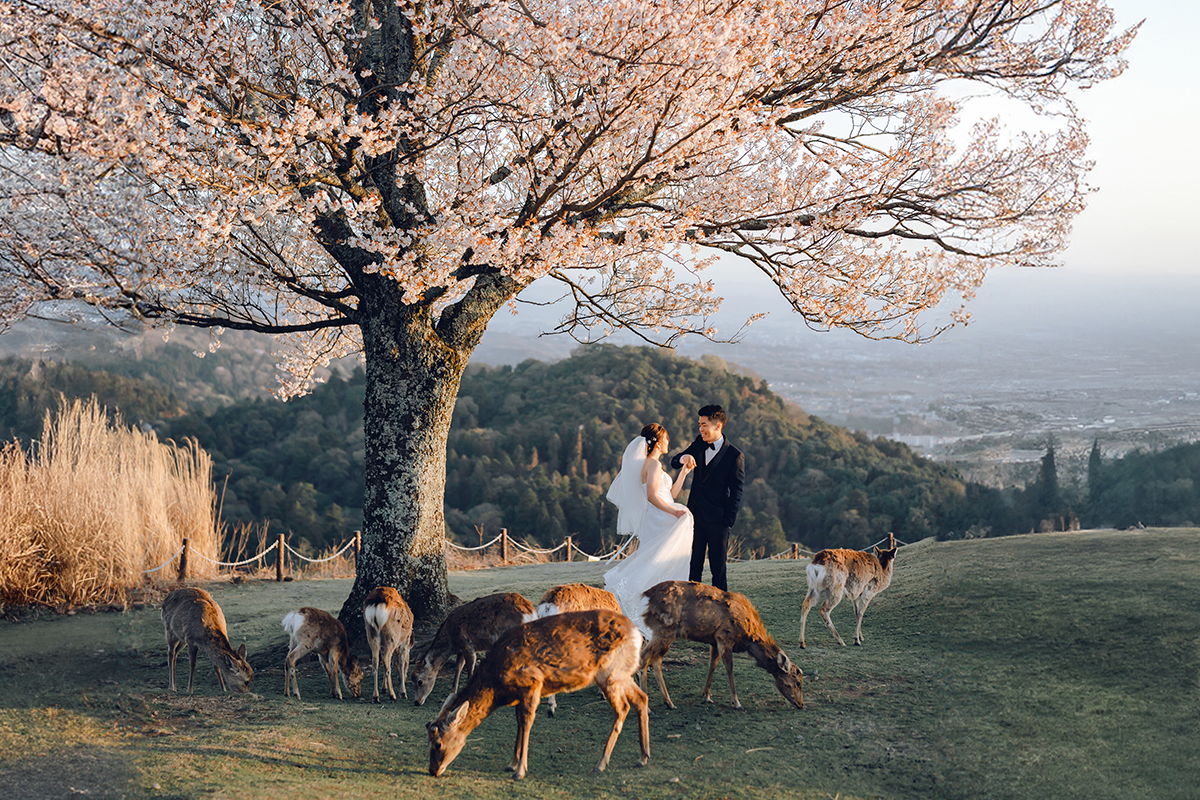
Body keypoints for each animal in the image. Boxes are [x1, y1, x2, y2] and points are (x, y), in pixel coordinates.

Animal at [424, 609, 648, 777]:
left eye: (437, 744)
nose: (433, 771)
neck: (497, 687)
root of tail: (637, 634)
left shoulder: (533, 682)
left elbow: (526, 722)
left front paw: (520, 770)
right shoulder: (518, 695)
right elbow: (518, 722)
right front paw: (511, 764)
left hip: (609, 672)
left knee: (622, 708)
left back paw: (600, 764)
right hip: (622, 673)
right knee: (641, 698)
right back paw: (643, 757)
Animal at [643, 578, 801, 710]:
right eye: (798, 682)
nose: (801, 704)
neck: (748, 637)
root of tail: (646, 595)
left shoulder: (714, 641)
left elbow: (713, 664)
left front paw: (706, 695)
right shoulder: (725, 636)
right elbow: (729, 667)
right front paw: (737, 703)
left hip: (665, 633)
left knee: (656, 660)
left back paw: (669, 703)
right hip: (664, 629)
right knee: (645, 657)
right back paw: (649, 707)